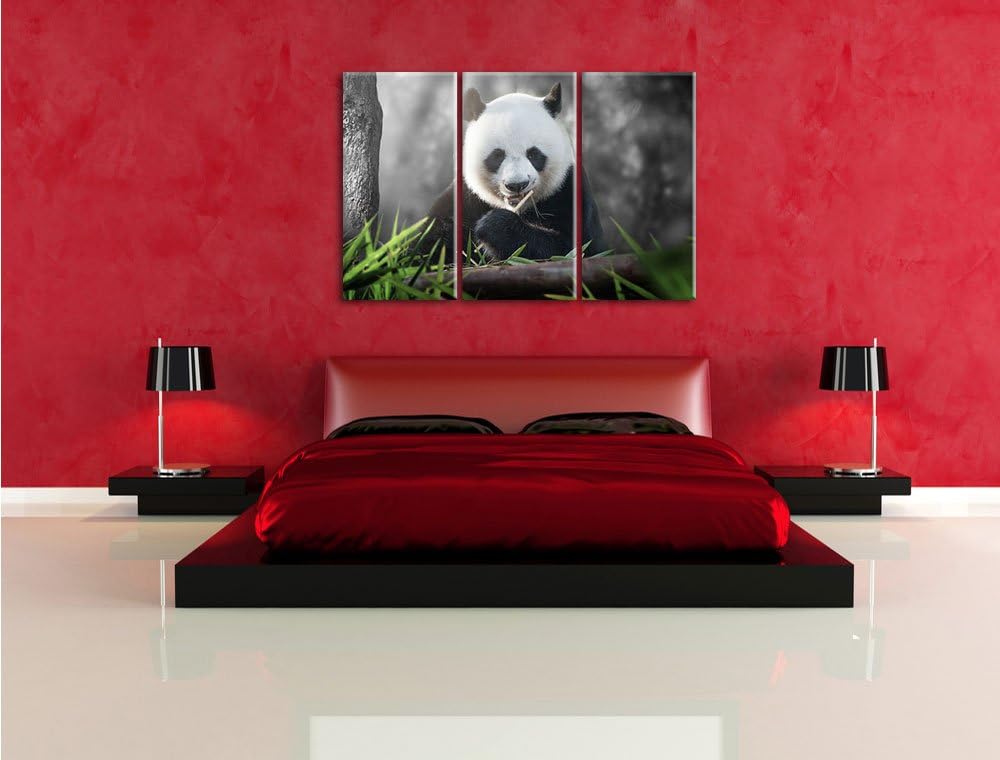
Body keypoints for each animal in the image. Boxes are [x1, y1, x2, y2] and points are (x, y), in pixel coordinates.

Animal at [426, 83, 606, 262]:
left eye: (533, 154)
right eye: (497, 155)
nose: (517, 185)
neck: (518, 208)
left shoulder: (568, 191)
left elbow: (576, 248)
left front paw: (494, 227)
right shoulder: (467, 197)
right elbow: (433, 239)